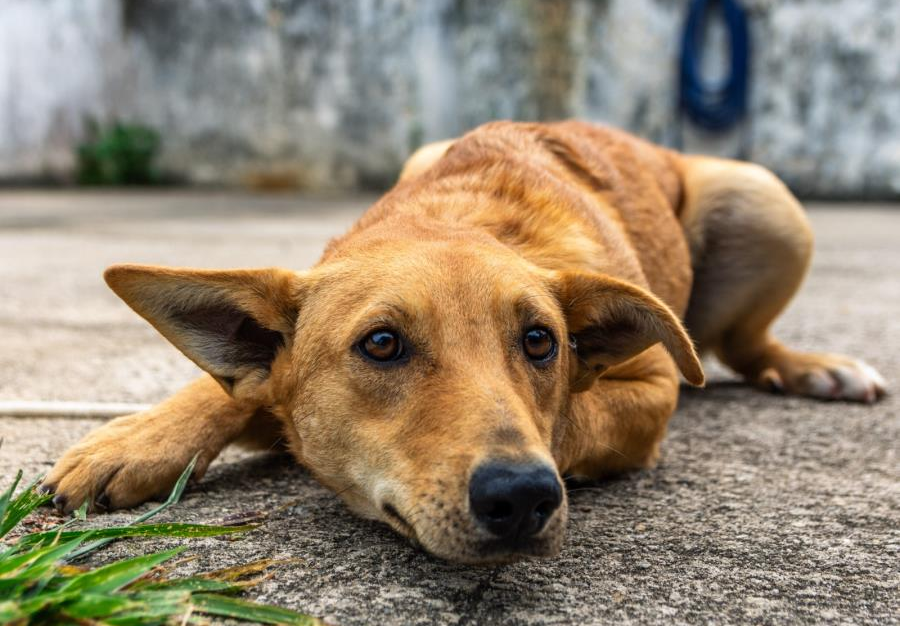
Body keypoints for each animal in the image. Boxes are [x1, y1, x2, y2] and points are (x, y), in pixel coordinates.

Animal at [44, 120, 884, 560]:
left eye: (542, 341)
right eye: (382, 344)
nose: (522, 496)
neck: (456, 218)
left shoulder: (653, 391)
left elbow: (574, 416)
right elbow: (238, 390)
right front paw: (141, 439)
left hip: (764, 197)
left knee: (746, 344)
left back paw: (815, 369)